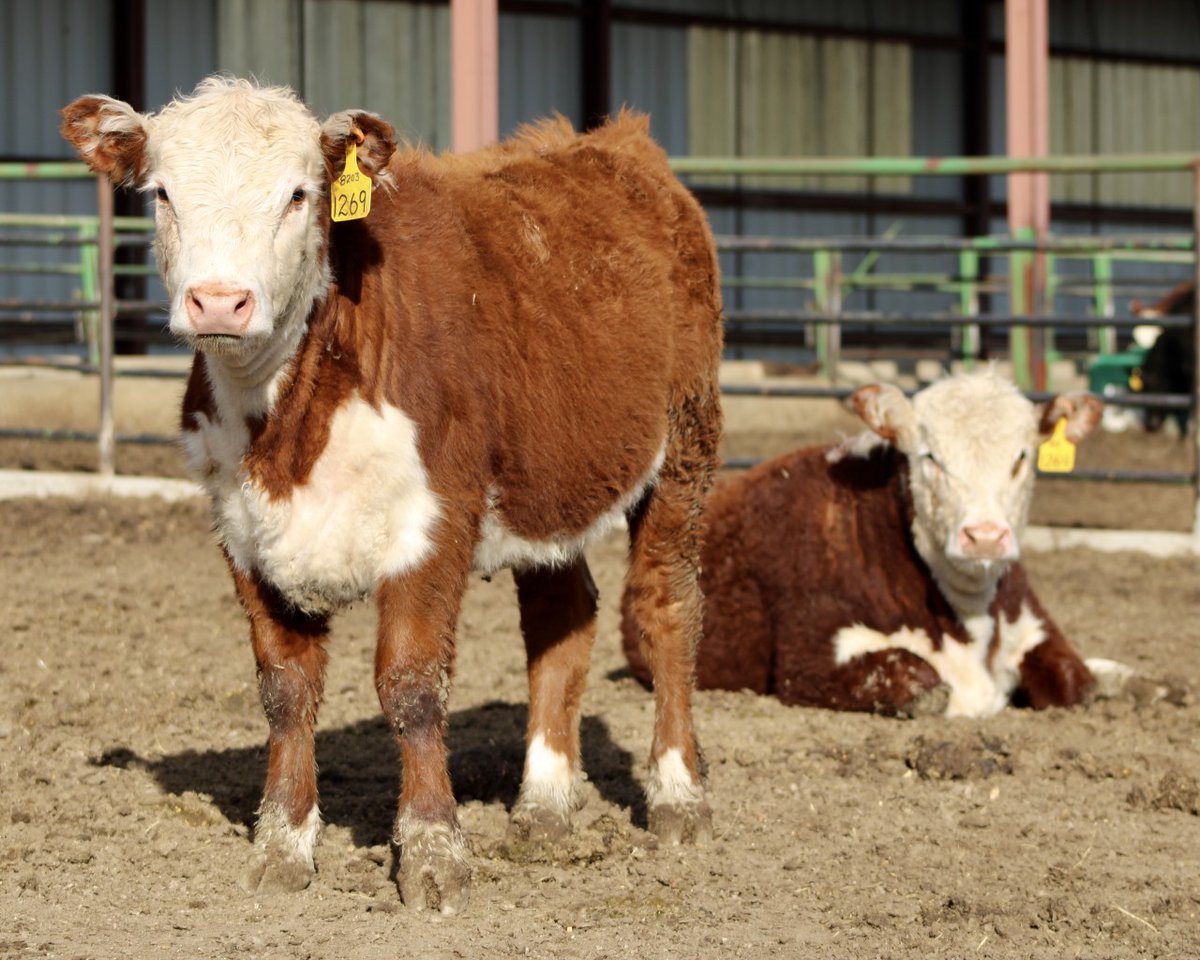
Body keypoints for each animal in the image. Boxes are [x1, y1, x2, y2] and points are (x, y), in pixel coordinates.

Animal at [62, 77, 723, 913]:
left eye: (300, 194)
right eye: (163, 194)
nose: (219, 302)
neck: (287, 426)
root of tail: (614, 140)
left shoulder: (434, 520)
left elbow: (410, 687)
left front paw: (434, 853)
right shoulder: (242, 532)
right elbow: (285, 690)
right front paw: (282, 844)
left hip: (687, 444)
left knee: (667, 607)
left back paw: (678, 800)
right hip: (548, 482)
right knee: (560, 618)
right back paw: (543, 809)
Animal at [623, 371, 1116, 718]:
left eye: (1022, 457)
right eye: (930, 457)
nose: (985, 536)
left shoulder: (1033, 621)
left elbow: (1077, 682)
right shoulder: (811, 653)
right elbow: (922, 683)